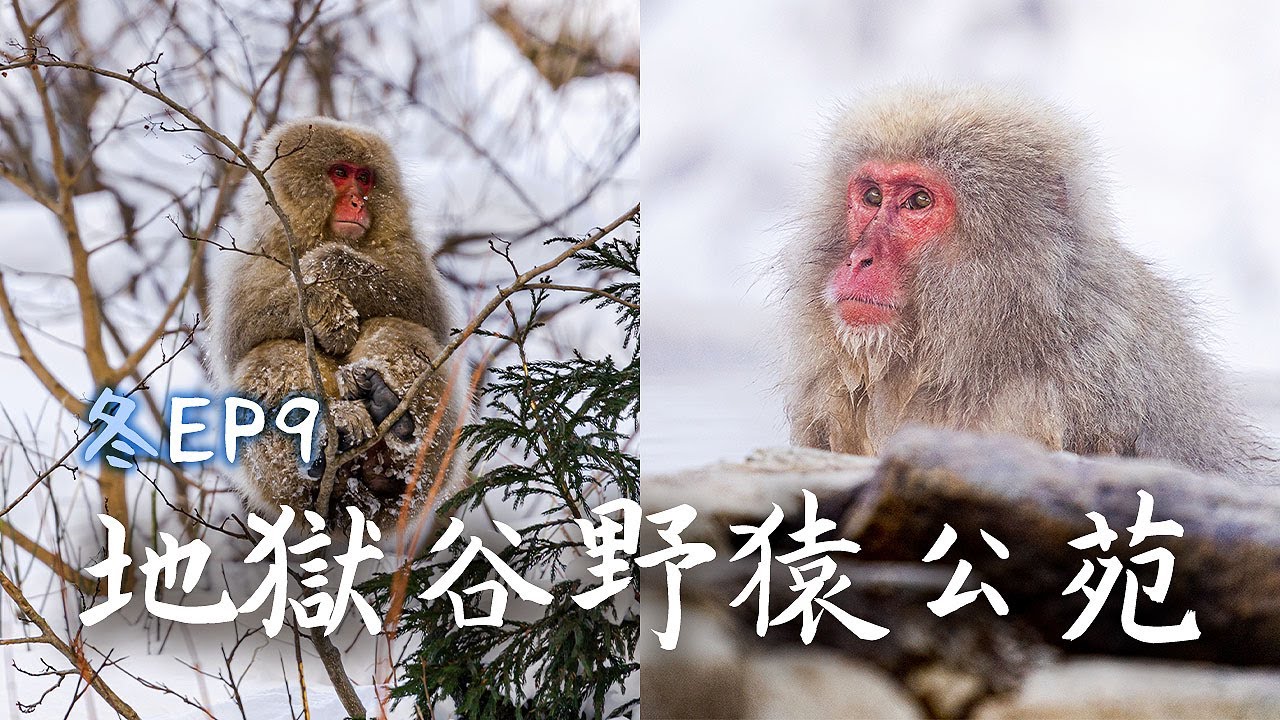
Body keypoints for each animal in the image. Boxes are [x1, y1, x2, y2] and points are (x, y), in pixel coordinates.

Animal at [211, 117, 467, 528]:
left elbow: (420, 303)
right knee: (270, 356)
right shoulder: (253, 255)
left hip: (433, 464)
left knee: (398, 329)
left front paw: (324, 266)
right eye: (340, 173)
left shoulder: (407, 249)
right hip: (280, 488)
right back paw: (326, 441)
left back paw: (389, 416)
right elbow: (243, 329)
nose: (358, 202)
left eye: (365, 178)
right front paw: (325, 308)